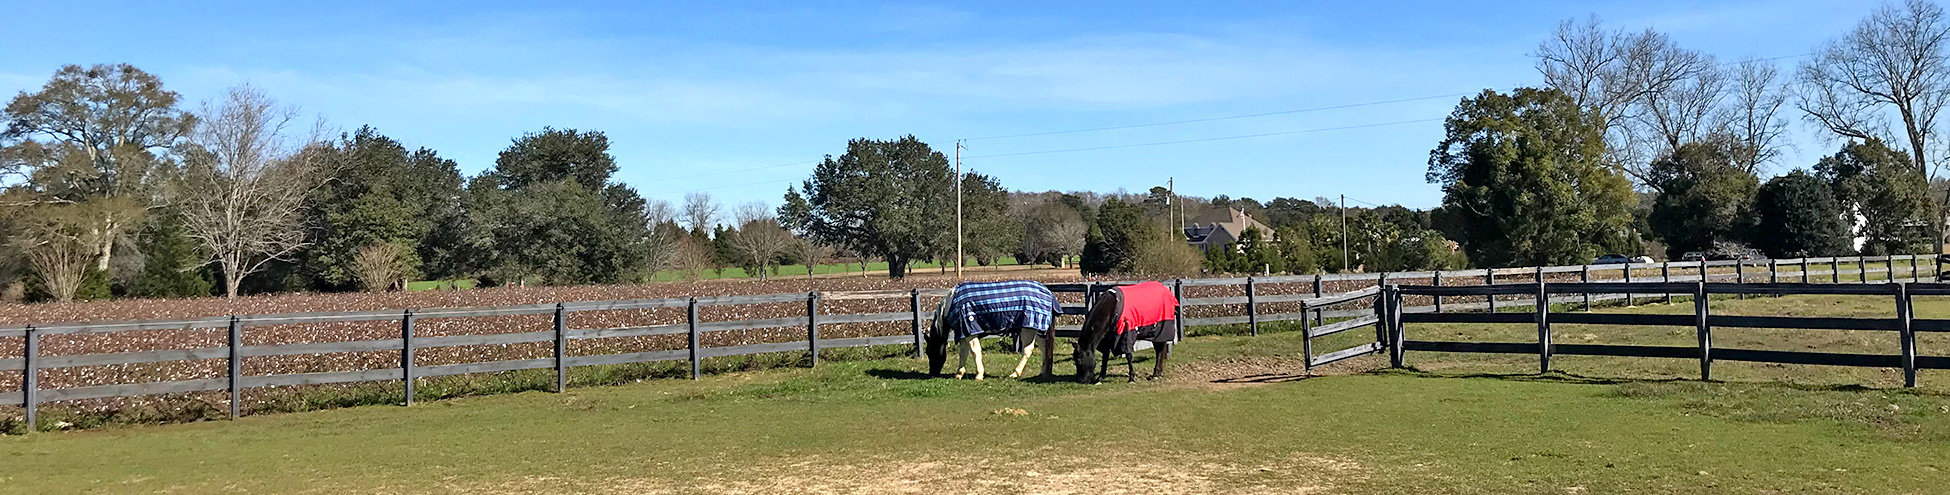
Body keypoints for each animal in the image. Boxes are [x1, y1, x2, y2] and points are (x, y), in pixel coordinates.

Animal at [924, 280, 1060, 380]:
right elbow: (963, 353)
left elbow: (975, 352)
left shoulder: (970, 332)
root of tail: (1048, 293)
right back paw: (1043, 372)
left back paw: (1015, 373)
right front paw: (959, 374)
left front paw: (979, 375)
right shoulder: (964, 333)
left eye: (930, 352)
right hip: (1037, 330)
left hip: (1028, 329)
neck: (952, 304)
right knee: (1044, 348)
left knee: (1027, 350)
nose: (933, 373)